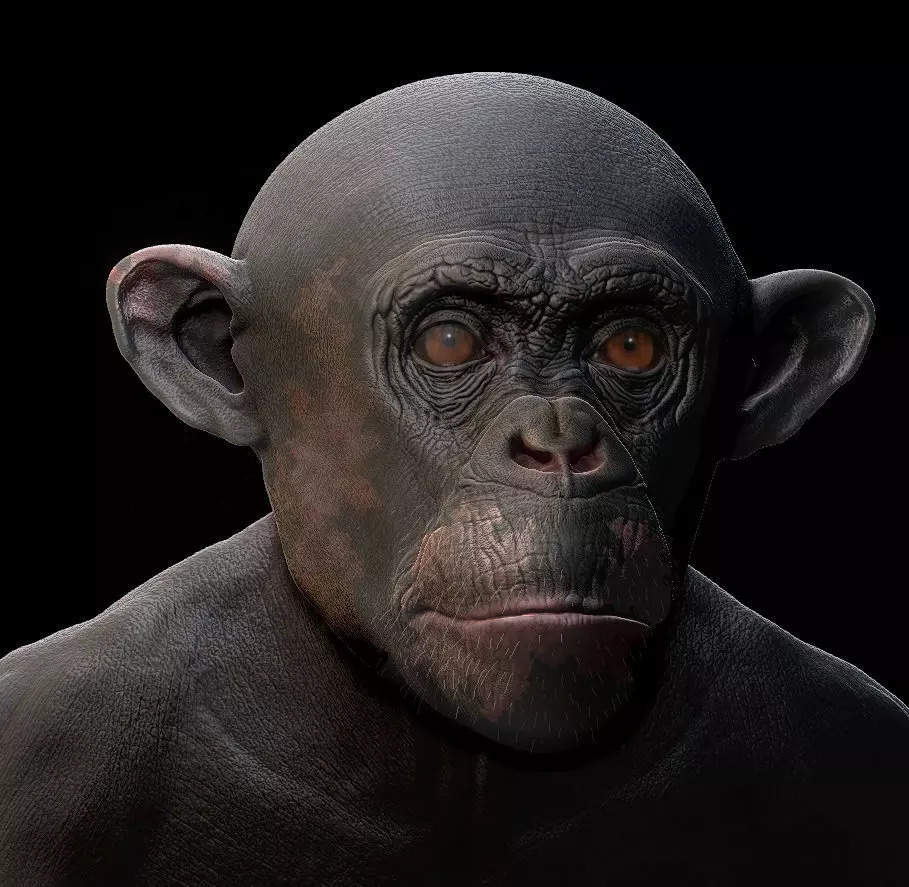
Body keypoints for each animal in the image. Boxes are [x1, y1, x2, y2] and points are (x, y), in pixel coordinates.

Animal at [2, 73, 906, 885]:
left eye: (630, 345)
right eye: (448, 340)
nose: (558, 441)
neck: (453, 766)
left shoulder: (851, 738)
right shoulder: (49, 742)